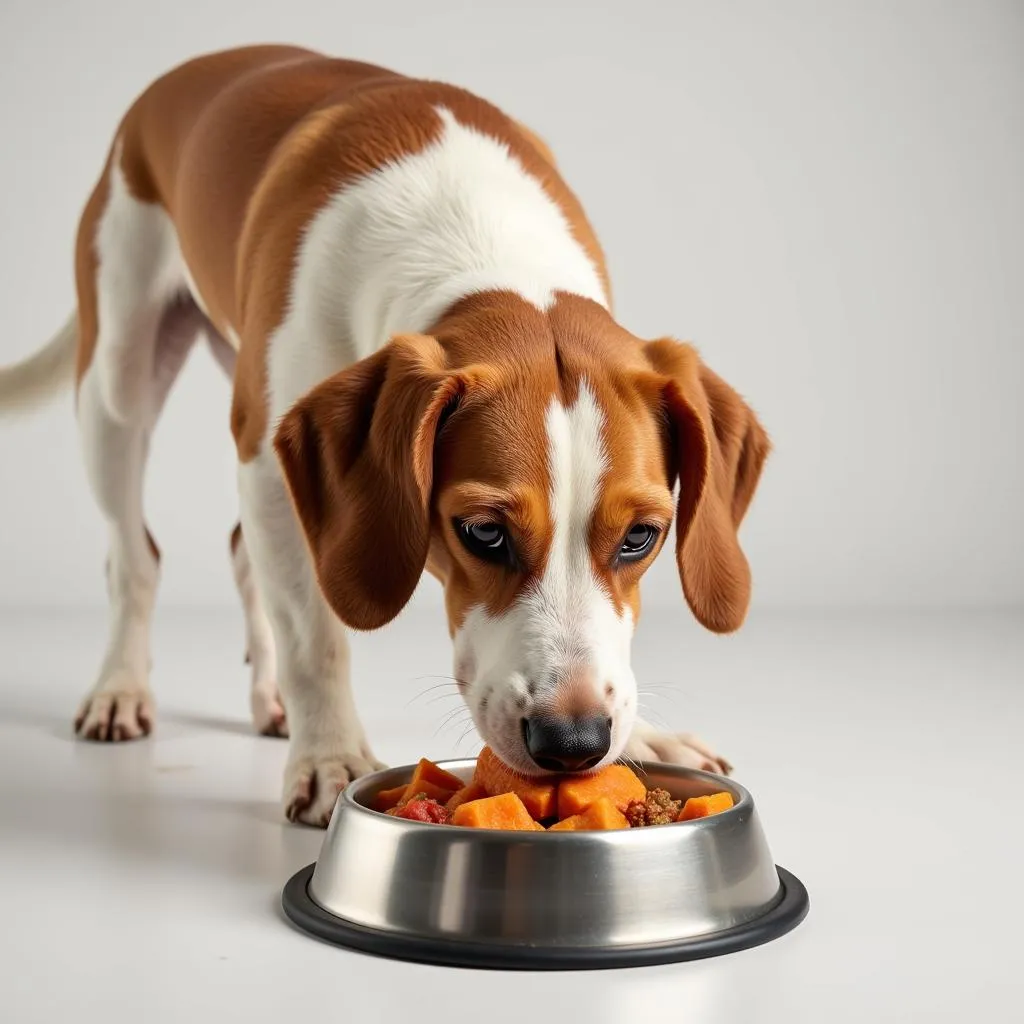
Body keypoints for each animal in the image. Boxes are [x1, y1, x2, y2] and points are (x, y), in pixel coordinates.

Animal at [0, 48, 770, 827]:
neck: (479, 245)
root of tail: (187, 73)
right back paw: (121, 688)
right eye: (483, 532)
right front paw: (328, 756)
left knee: (242, 553)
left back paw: (268, 699)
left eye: (641, 537)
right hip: (117, 384)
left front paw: (642, 742)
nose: (572, 740)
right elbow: (314, 636)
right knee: (136, 557)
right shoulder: (272, 465)